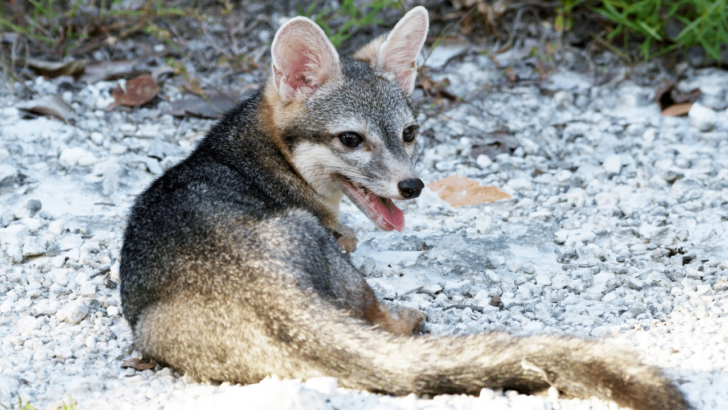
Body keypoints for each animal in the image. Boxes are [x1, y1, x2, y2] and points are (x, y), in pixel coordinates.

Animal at [119, 6, 689, 409]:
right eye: (351, 139)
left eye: (409, 133)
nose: (412, 186)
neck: (259, 154)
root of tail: (264, 291)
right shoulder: (338, 235)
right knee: (376, 318)